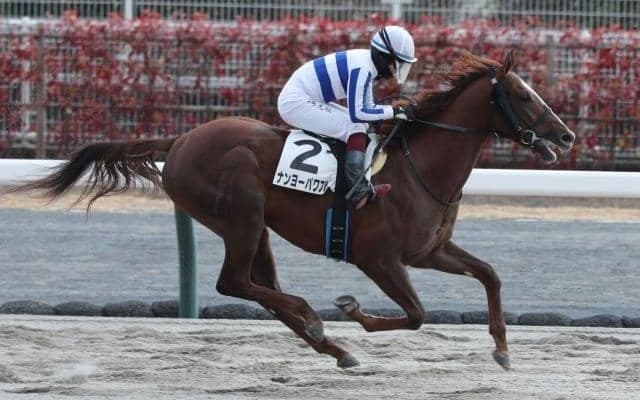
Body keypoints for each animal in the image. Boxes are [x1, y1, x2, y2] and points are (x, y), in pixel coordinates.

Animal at [8, 51, 575, 370]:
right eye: (524, 95)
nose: (566, 136)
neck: (421, 169)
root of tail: (182, 138)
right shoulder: (379, 260)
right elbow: (415, 315)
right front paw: (352, 310)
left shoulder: (429, 251)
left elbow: (490, 275)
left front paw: (502, 349)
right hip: (240, 217)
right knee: (236, 284)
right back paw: (318, 321)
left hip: (255, 227)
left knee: (260, 289)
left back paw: (332, 347)